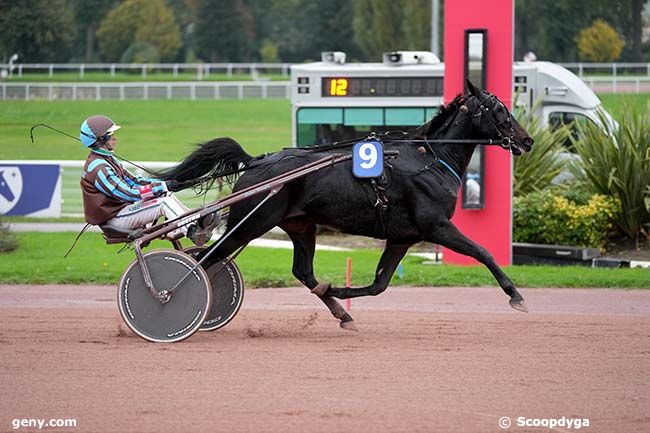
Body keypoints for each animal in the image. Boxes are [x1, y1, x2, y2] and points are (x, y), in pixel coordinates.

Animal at [161, 81, 532, 330]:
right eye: (501, 110)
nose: (527, 140)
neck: (430, 158)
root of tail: (256, 162)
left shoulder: (402, 238)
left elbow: (379, 284)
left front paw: (337, 290)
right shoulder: (436, 226)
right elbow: (483, 252)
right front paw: (516, 296)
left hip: (300, 225)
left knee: (303, 272)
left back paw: (340, 310)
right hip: (252, 222)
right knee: (207, 259)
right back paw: (173, 299)